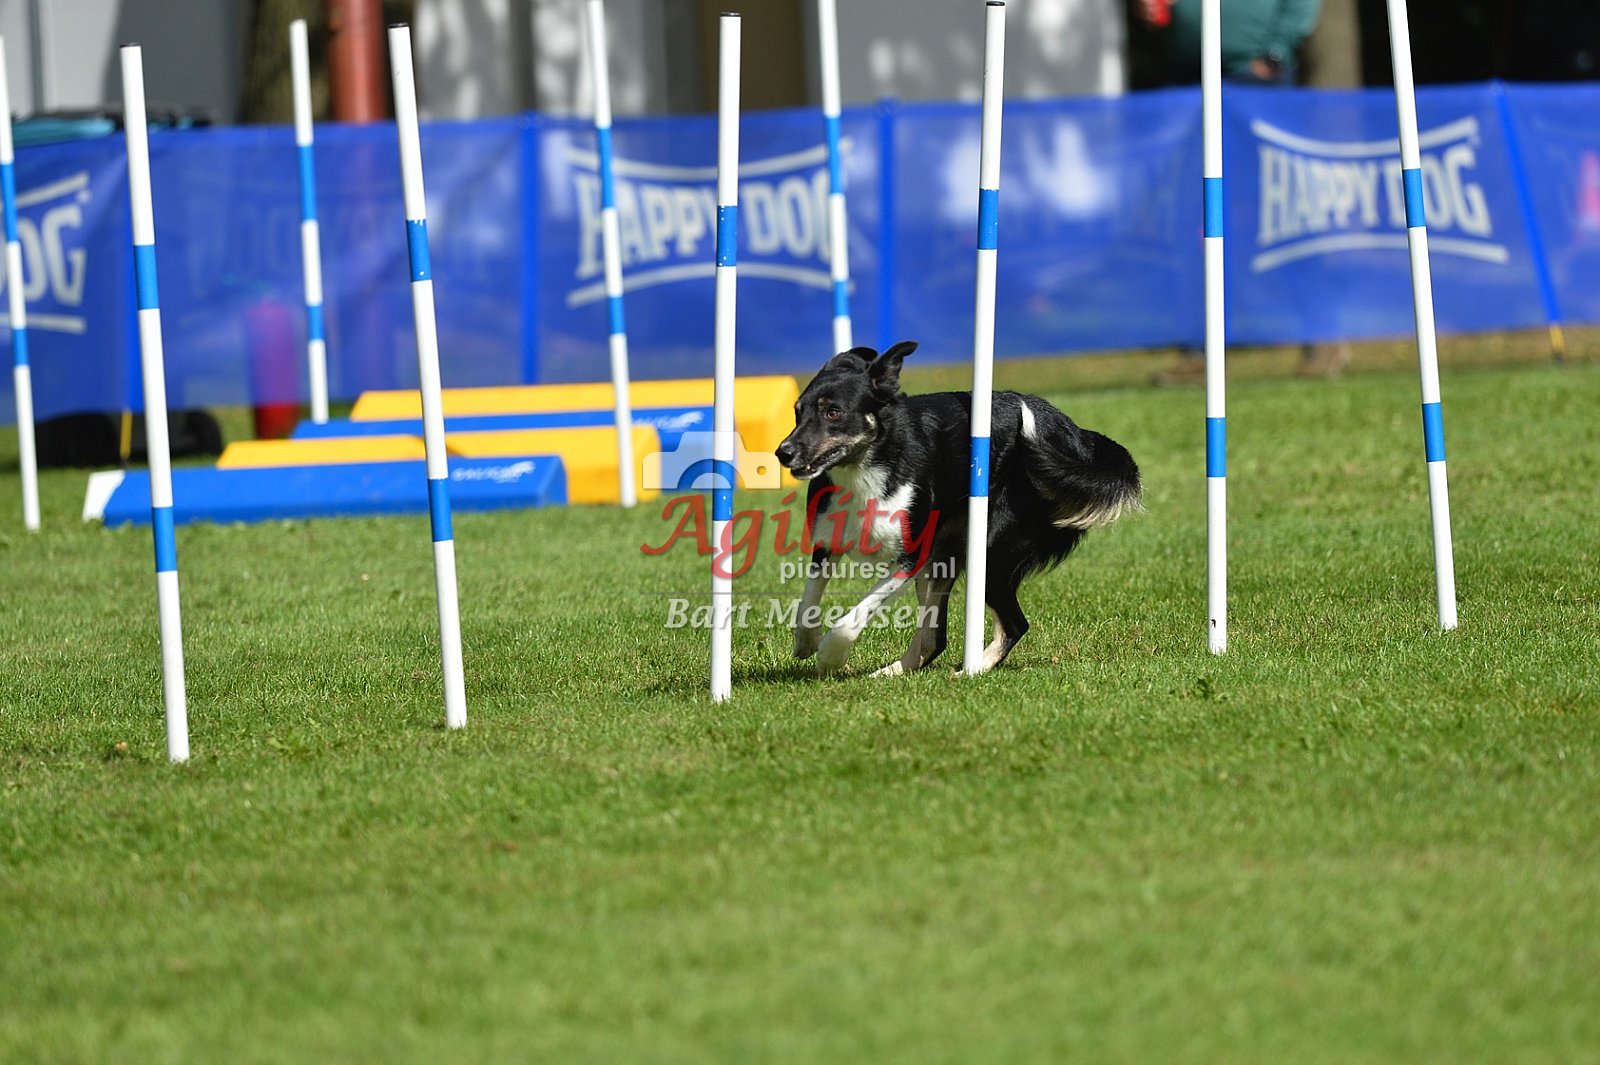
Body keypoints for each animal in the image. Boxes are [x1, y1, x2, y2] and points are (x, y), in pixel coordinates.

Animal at [773, 341, 1141, 676]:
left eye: (833, 412)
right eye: (797, 411)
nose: (783, 452)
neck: (867, 465)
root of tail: (1073, 433)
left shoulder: (911, 556)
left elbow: (854, 616)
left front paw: (830, 655)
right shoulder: (827, 543)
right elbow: (807, 602)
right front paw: (806, 642)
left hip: (992, 555)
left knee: (1014, 624)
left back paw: (972, 670)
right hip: (943, 559)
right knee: (934, 640)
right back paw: (890, 673)